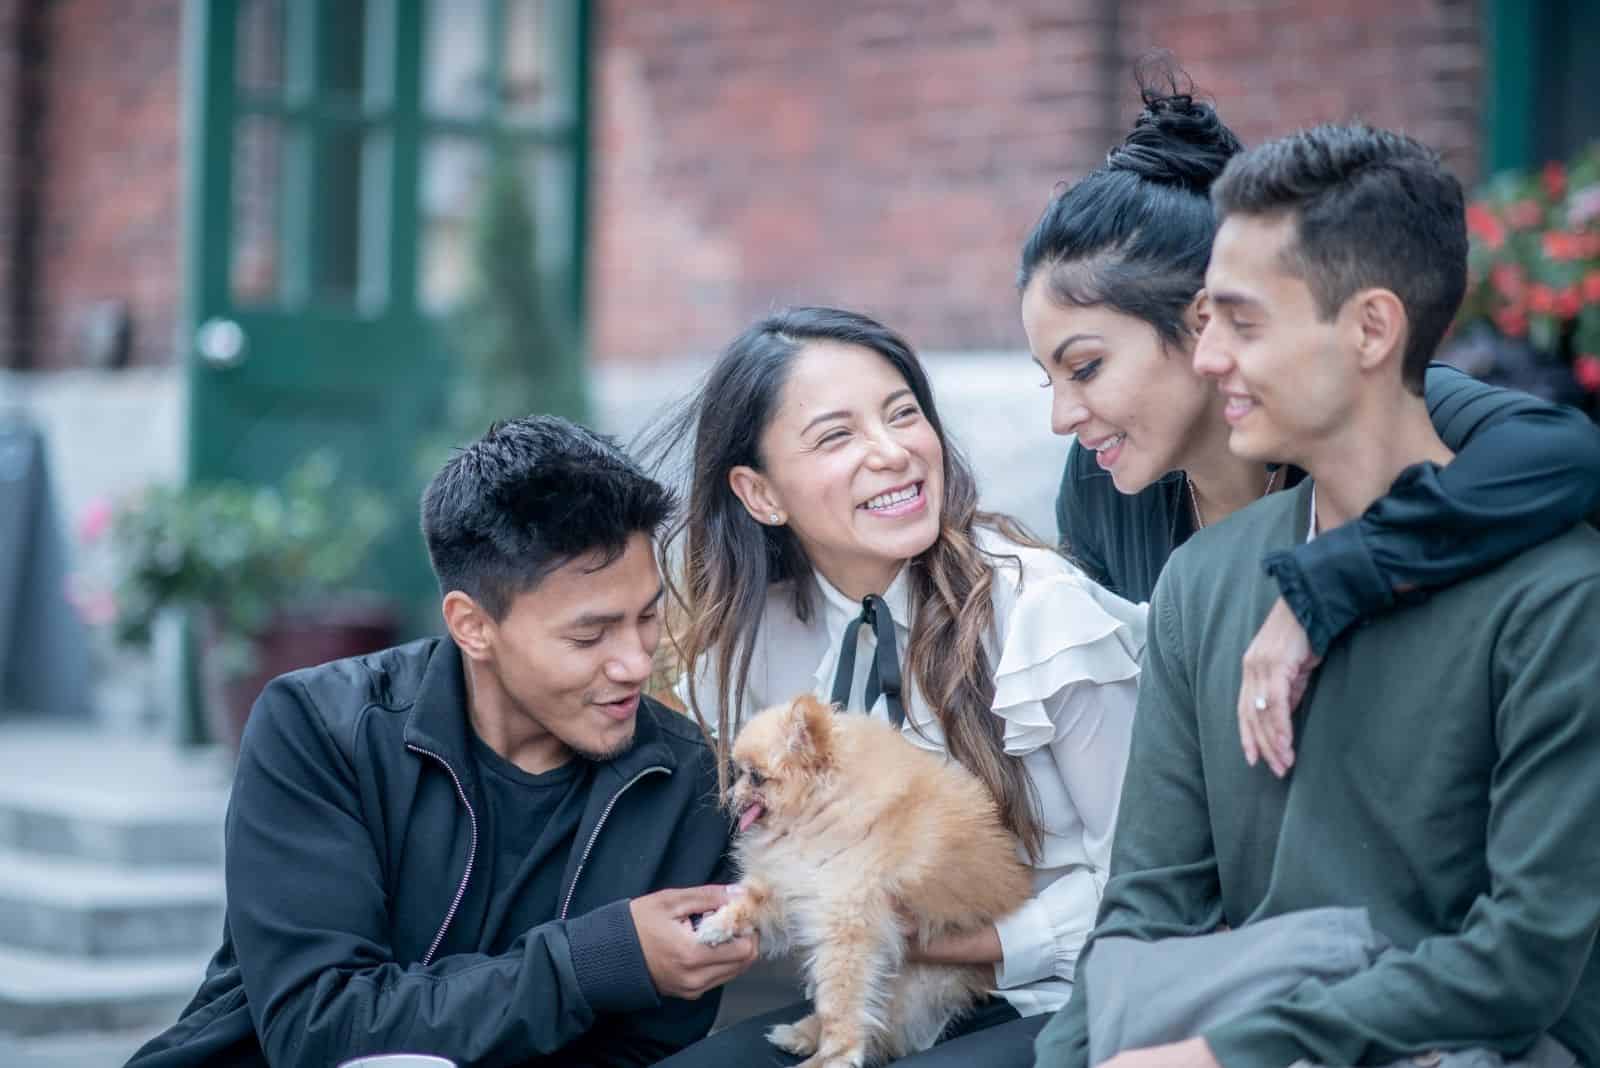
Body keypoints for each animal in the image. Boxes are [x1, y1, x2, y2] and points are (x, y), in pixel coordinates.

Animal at [694, 693, 1030, 1068]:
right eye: (739, 773)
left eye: (754, 777)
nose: (729, 797)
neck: (821, 809)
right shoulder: (796, 885)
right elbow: (749, 901)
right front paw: (716, 925)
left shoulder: (846, 923)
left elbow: (840, 1004)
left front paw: (835, 1059)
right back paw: (800, 1034)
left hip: (916, 982)